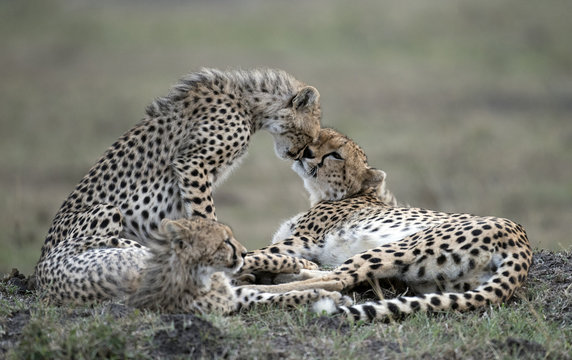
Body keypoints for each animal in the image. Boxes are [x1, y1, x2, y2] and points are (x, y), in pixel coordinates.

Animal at [33, 68, 322, 304]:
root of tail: (38, 268)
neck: (249, 103)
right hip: (107, 210)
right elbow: (206, 216)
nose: (296, 155)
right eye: (308, 135)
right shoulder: (193, 164)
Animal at [246, 129, 532, 320]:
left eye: (335, 155)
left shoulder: (303, 239)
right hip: (430, 281)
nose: (307, 153)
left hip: (401, 245)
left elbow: (253, 253)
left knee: (339, 278)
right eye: (316, 140)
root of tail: (521, 239)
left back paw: (261, 285)